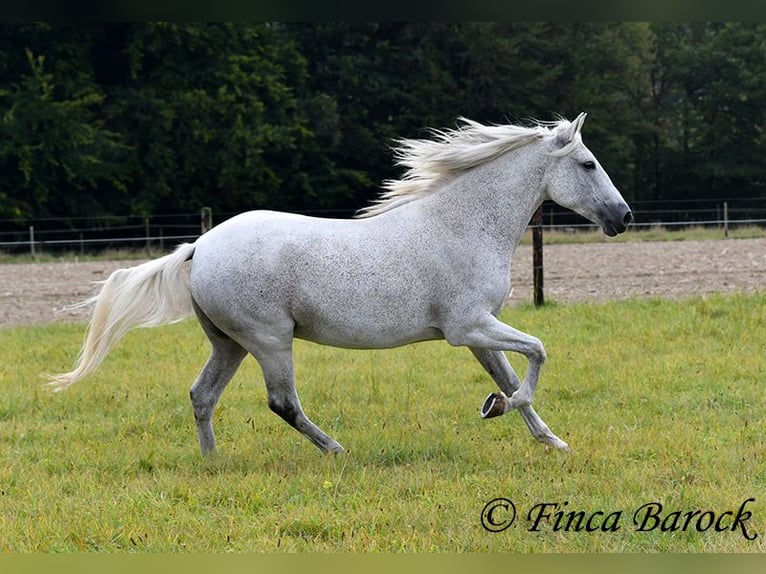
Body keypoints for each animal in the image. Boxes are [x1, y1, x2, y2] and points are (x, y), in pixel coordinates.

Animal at [51, 115, 632, 460]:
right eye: (588, 163)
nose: (623, 217)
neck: (461, 225)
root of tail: (200, 247)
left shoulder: (477, 332)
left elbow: (513, 376)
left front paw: (549, 439)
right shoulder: (468, 327)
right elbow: (537, 354)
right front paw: (497, 409)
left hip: (230, 343)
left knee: (202, 395)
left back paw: (213, 462)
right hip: (269, 341)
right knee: (282, 402)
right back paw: (335, 450)